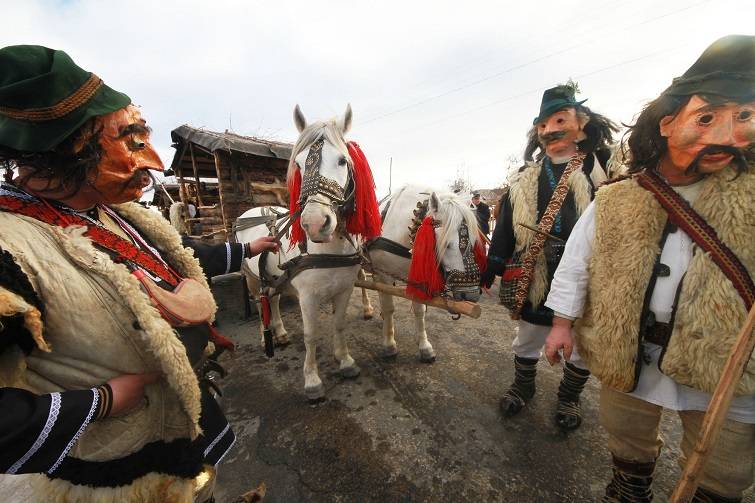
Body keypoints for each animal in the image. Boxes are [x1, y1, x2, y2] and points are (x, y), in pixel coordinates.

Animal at [236, 105, 380, 402]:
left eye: (342, 161)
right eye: (300, 165)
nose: (314, 223)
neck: (328, 249)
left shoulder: (345, 289)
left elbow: (339, 324)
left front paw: (345, 361)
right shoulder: (308, 298)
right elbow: (311, 335)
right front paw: (312, 379)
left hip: (274, 277)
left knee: (274, 300)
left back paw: (279, 332)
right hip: (252, 278)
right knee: (260, 301)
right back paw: (265, 336)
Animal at [366, 185, 484, 362]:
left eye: (474, 241)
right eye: (447, 244)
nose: (471, 295)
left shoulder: (417, 278)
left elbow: (419, 310)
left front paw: (424, 347)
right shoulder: (382, 275)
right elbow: (388, 308)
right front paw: (389, 344)